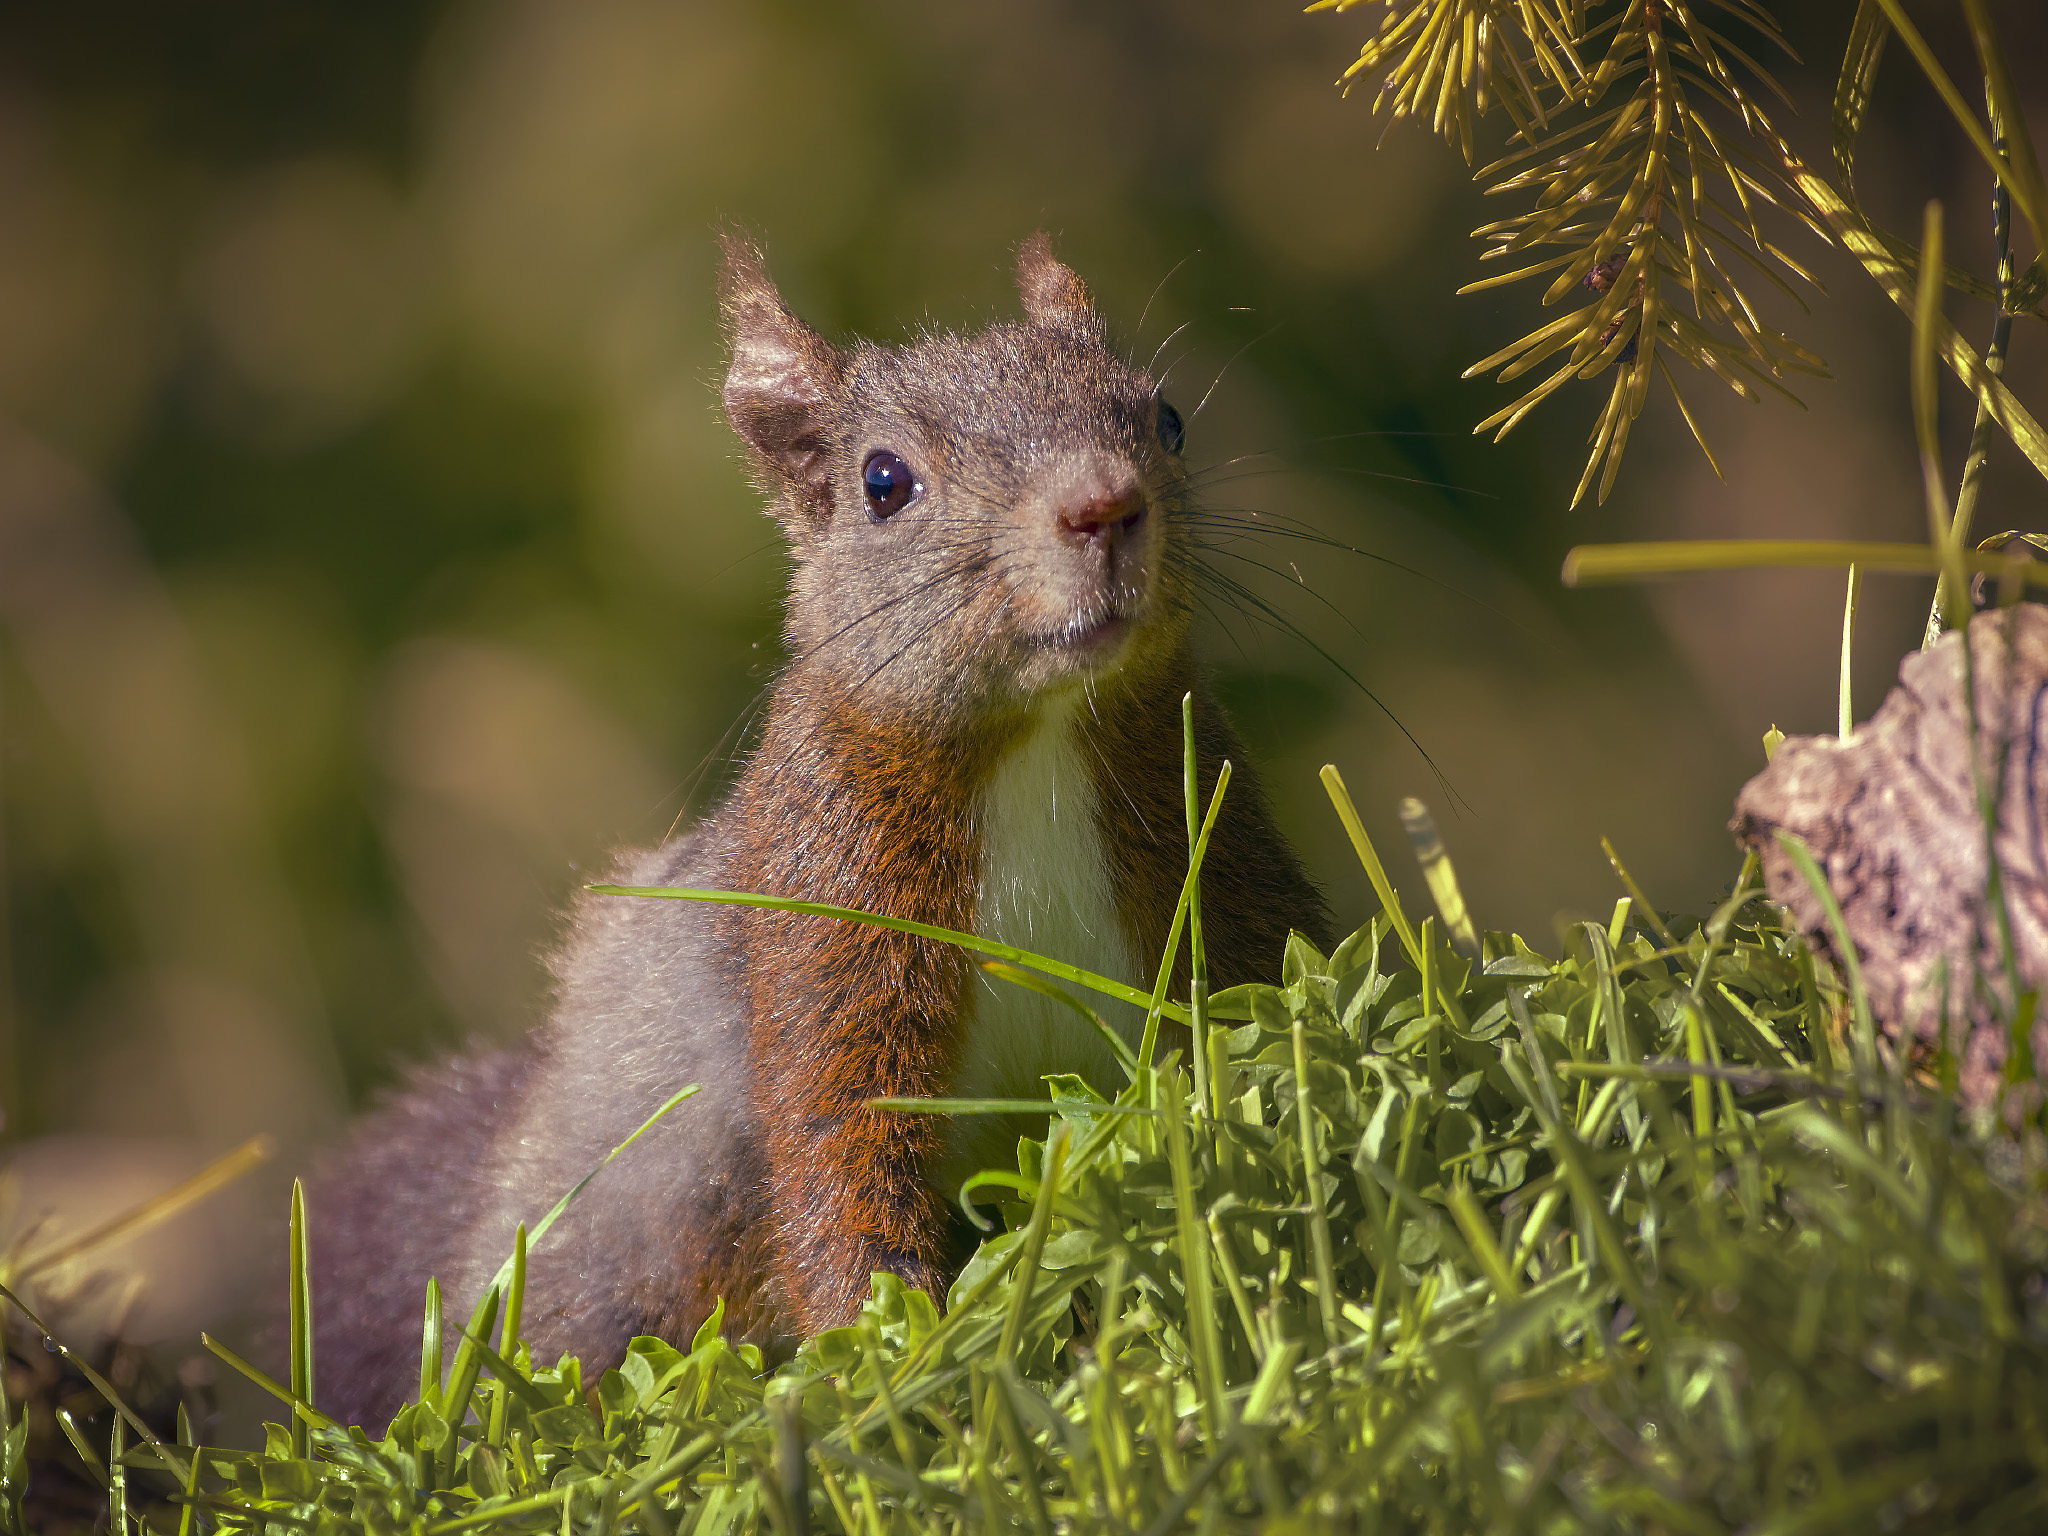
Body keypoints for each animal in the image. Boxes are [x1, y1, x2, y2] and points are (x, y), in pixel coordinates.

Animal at [308, 233, 1331, 1430]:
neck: (1033, 745)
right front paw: (906, 1365)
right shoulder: (824, 923)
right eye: (884, 483)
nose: (1104, 506)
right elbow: (838, 1156)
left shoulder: (1220, 866)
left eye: (1164, 418)